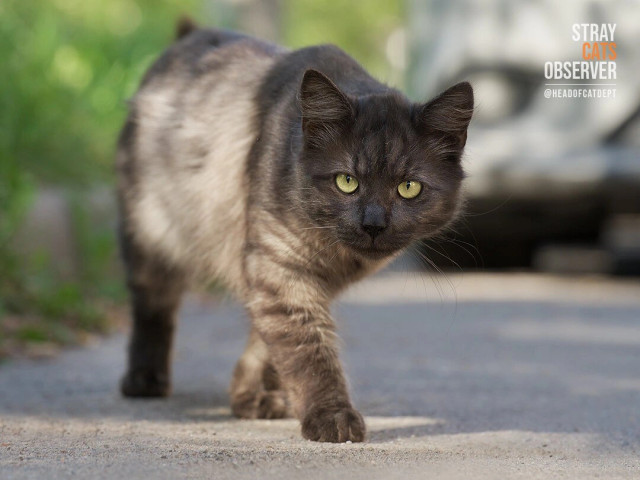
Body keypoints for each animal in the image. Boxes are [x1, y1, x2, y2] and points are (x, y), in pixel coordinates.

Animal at [117, 20, 472, 444]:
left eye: (409, 188)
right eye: (346, 182)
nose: (373, 224)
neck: (334, 254)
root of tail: (190, 34)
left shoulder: (287, 282)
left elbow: (269, 341)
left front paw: (251, 394)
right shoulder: (281, 271)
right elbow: (309, 351)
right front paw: (331, 417)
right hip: (151, 235)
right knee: (153, 307)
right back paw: (144, 379)